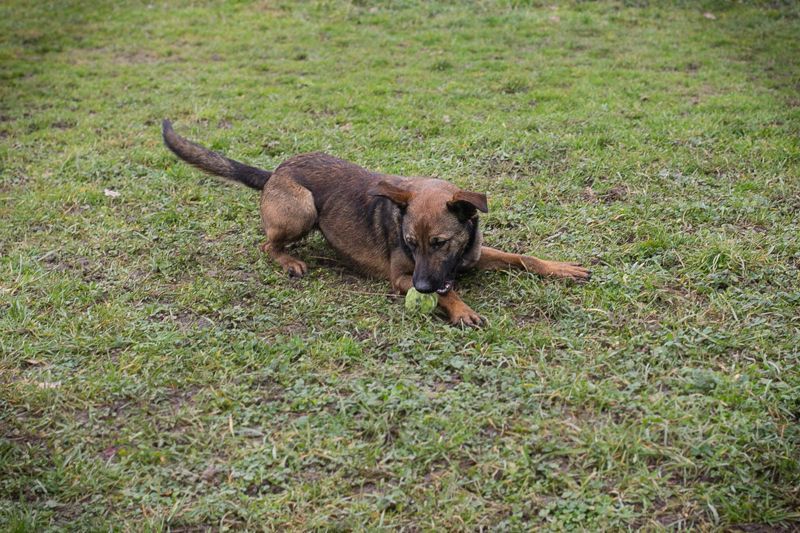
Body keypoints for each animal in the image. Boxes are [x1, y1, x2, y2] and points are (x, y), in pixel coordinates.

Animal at [162, 120, 590, 326]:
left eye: (439, 243)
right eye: (410, 244)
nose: (422, 286)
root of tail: (275, 172)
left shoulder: (474, 255)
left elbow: (523, 258)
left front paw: (559, 268)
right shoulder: (401, 277)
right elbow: (446, 292)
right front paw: (460, 308)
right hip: (303, 208)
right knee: (267, 244)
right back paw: (289, 261)